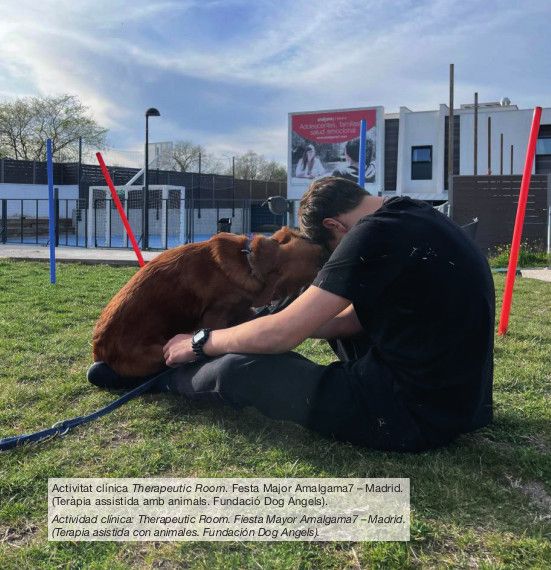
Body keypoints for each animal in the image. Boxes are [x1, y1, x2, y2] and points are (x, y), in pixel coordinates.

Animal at [92, 226, 326, 378]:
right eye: (317, 262)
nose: (325, 249)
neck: (247, 262)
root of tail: (98, 350)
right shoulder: (216, 315)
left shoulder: (242, 310)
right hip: (158, 350)